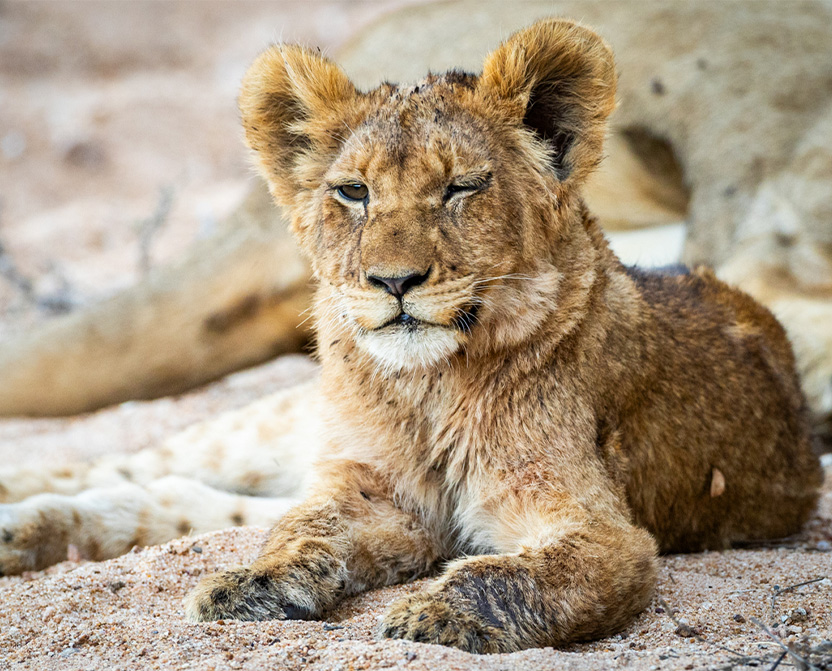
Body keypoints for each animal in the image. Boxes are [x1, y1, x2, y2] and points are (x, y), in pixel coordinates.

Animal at [1, 18, 822, 654]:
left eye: (461, 188)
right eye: (353, 192)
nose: (394, 281)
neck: (429, 387)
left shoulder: (605, 532)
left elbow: (514, 573)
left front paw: (434, 612)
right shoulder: (372, 492)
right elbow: (303, 529)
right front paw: (251, 585)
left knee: (174, 499)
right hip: (276, 426)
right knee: (137, 462)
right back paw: (22, 514)